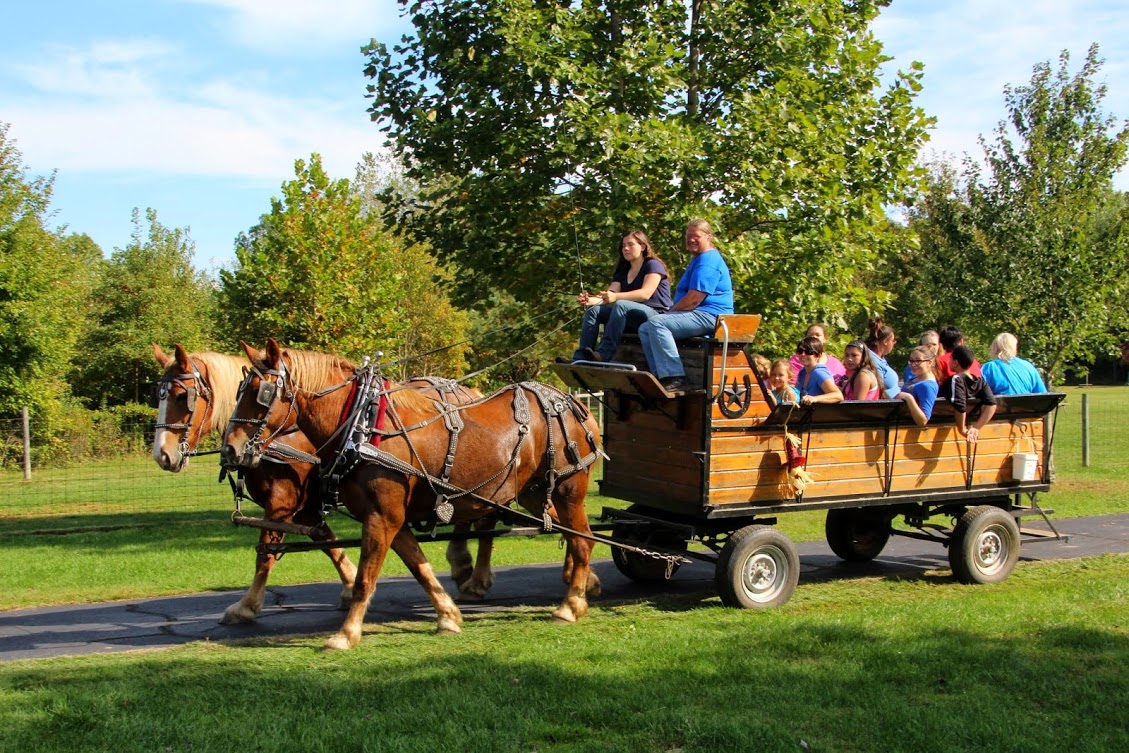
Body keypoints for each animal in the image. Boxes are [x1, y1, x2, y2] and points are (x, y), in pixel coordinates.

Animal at [223, 338, 605, 650]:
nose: (230, 448)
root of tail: (574, 404)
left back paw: (570, 604)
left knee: (582, 540)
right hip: (533, 492)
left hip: (568, 490)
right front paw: (448, 615)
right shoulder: (390, 516)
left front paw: (345, 633)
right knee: (574, 534)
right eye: (238, 390)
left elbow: (364, 577)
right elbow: (418, 566)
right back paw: (579, 585)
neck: (362, 426)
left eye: (261, 394)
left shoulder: (380, 515)